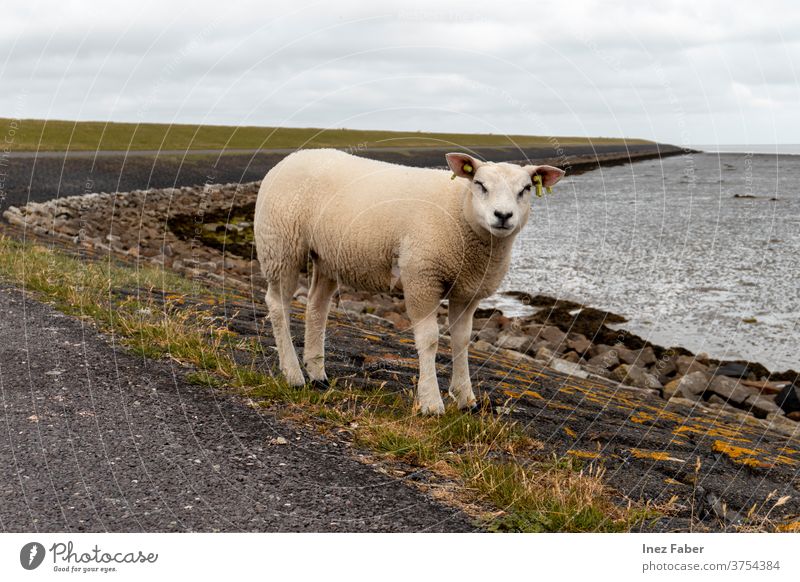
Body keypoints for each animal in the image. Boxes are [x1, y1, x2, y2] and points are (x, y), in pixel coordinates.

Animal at [255, 151, 564, 416]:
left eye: (526, 189)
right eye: (479, 184)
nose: (503, 216)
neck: (460, 211)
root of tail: (290, 158)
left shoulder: (468, 291)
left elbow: (462, 340)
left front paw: (466, 399)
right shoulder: (421, 277)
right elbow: (429, 339)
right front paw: (431, 402)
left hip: (328, 257)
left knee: (316, 307)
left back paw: (317, 374)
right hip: (281, 245)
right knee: (278, 305)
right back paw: (293, 374)